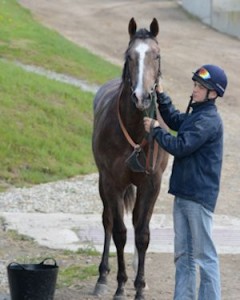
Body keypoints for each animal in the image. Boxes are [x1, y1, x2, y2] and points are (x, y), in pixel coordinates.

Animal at [92, 17, 169, 298]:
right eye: (130, 56)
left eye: (157, 55)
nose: (142, 96)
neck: (136, 129)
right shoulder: (113, 182)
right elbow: (119, 232)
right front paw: (120, 285)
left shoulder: (152, 183)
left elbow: (143, 234)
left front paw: (139, 286)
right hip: (103, 183)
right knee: (107, 221)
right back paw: (103, 277)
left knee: (137, 223)